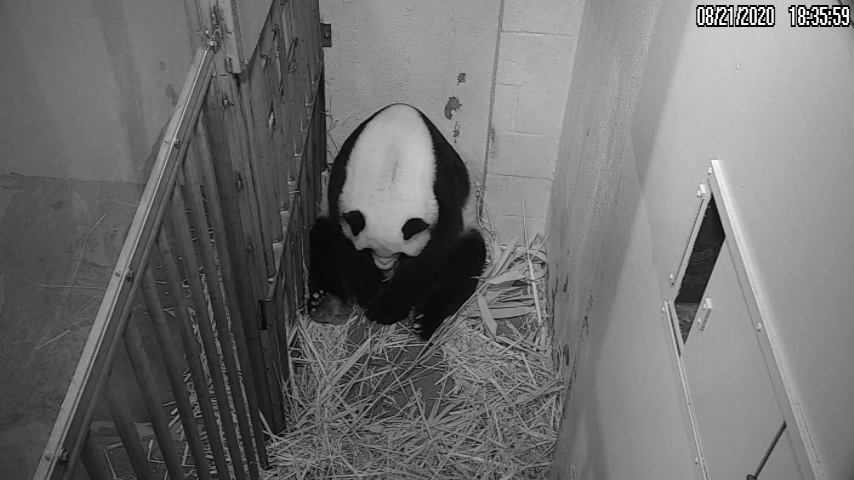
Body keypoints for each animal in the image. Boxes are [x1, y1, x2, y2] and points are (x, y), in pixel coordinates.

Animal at [308, 103, 484, 340]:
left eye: (400, 253)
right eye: (369, 249)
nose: (385, 265)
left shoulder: (443, 190)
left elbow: (433, 253)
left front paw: (386, 307)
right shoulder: (340, 186)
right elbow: (345, 246)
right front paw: (372, 294)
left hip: (469, 227)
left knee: (465, 262)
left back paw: (424, 321)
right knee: (322, 242)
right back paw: (327, 303)